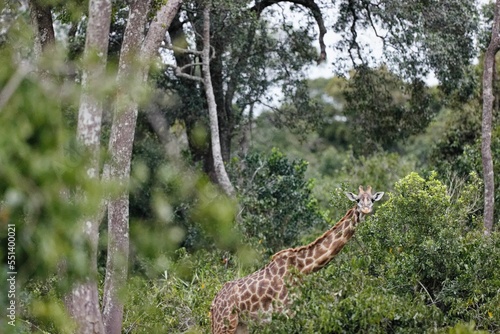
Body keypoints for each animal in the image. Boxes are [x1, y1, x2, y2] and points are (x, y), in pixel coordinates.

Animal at [209, 185, 384, 334]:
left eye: (372, 199)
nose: (366, 209)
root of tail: (213, 304)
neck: (302, 267)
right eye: (357, 200)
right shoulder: (284, 314)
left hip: (241, 325)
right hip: (225, 323)